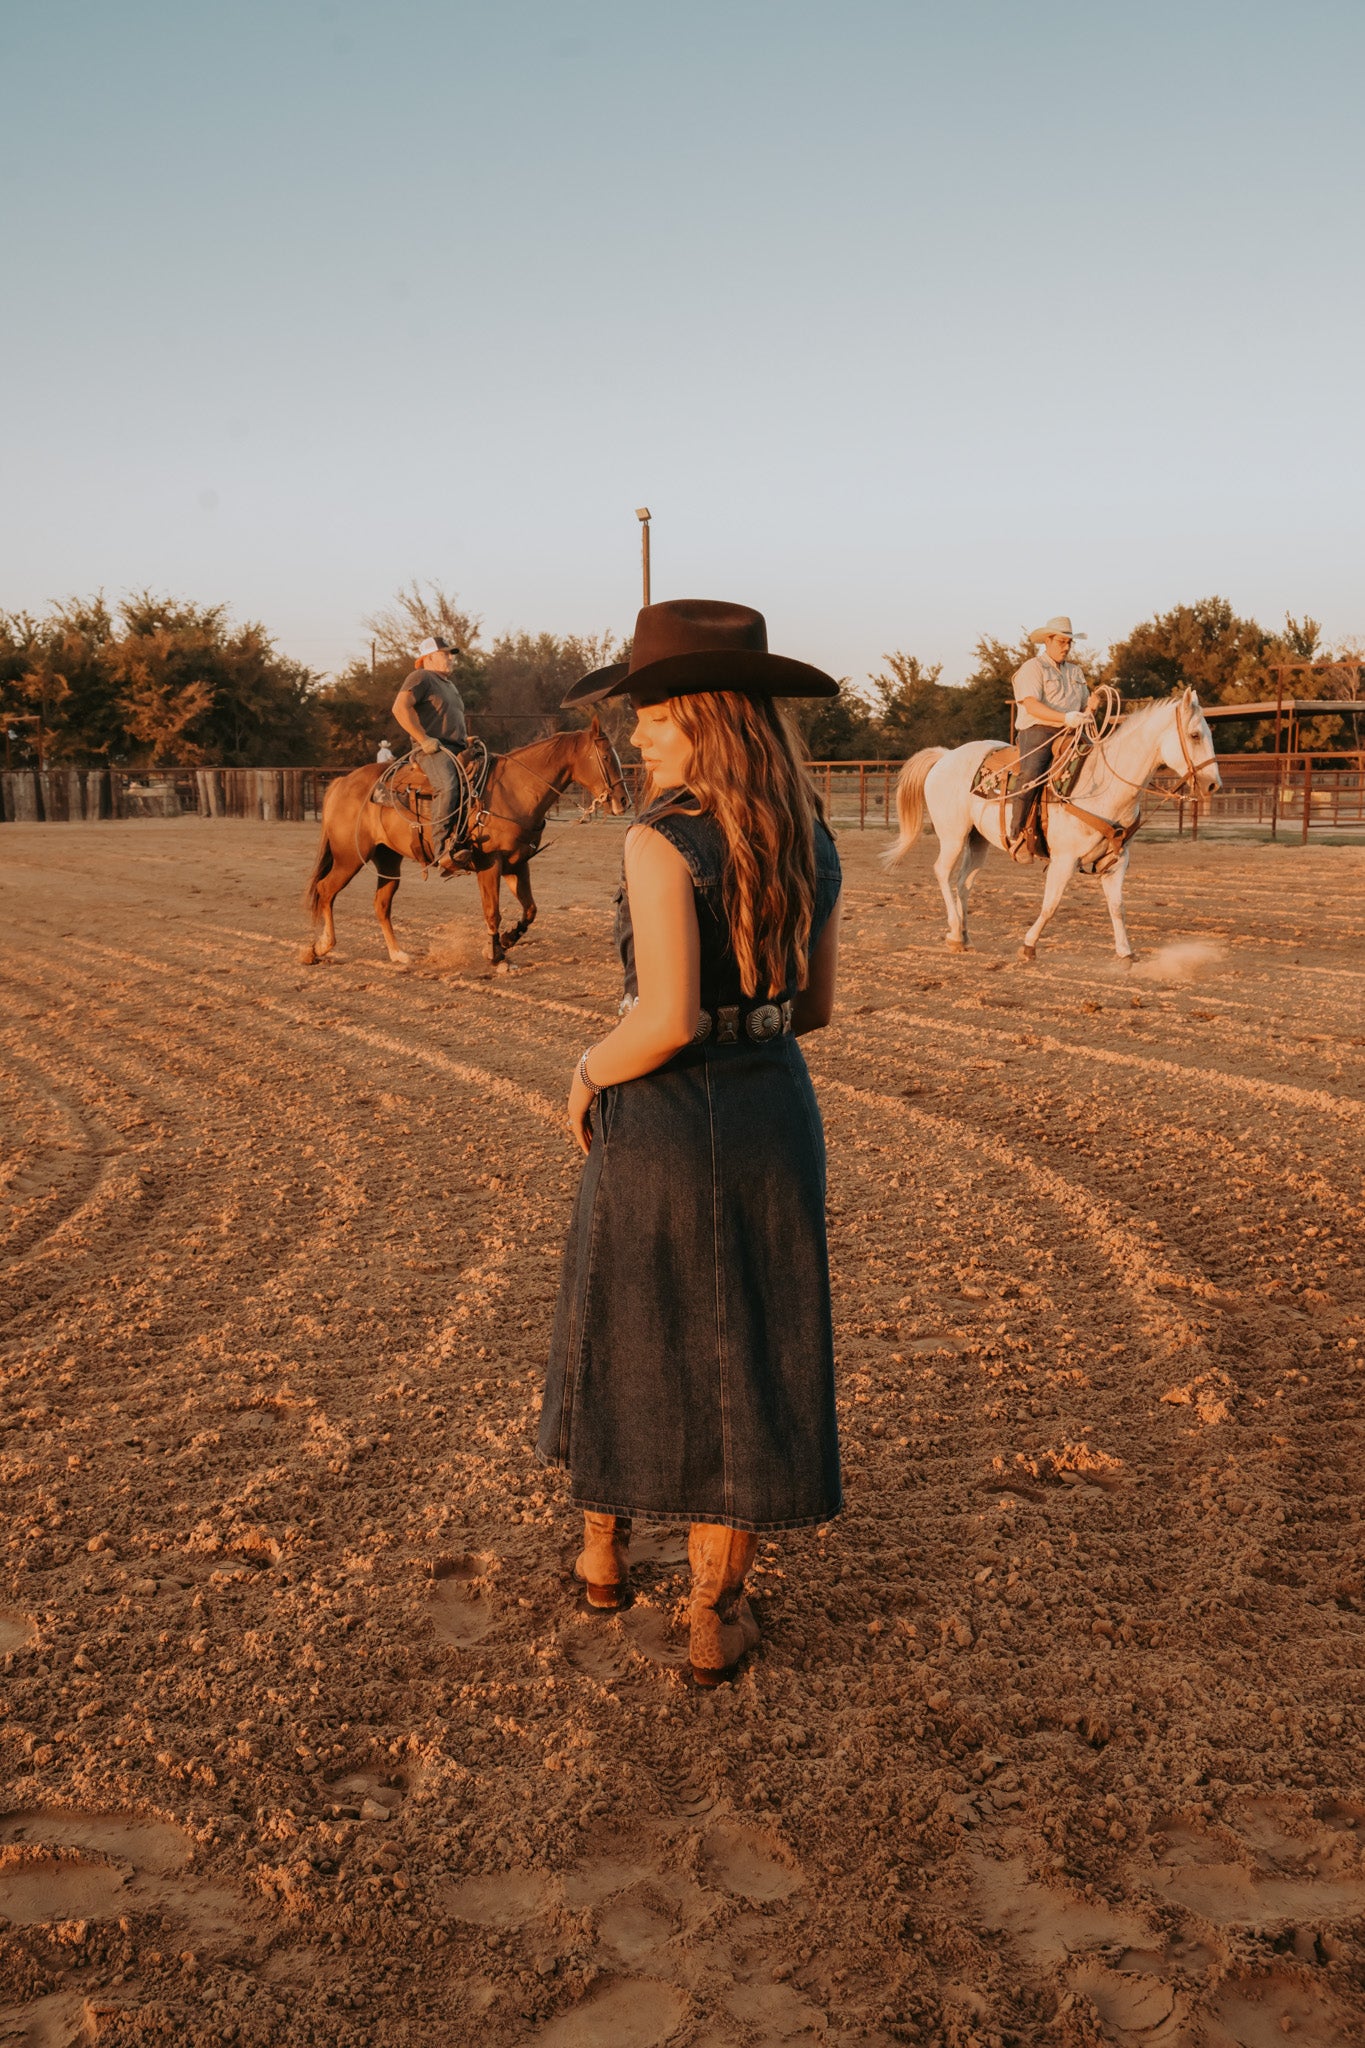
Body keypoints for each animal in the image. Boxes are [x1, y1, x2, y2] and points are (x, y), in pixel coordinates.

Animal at [304, 720, 630, 966]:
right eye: (605, 756)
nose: (624, 800)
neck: (514, 789)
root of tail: (341, 783)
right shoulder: (490, 863)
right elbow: (492, 911)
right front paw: (497, 957)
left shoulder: (517, 864)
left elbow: (530, 909)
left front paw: (506, 941)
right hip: (349, 857)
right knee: (325, 890)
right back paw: (318, 948)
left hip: (387, 860)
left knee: (381, 904)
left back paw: (398, 955)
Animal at [888, 692, 1219, 962]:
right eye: (1194, 735)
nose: (1214, 785)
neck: (1104, 786)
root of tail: (945, 756)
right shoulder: (1064, 860)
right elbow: (1051, 904)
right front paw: (1028, 945)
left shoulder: (1116, 862)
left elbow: (1118, 907)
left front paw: (1126, 953)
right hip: (953, 835)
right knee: (943, 873)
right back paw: (955, 932)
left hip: (977, 840)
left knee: (963, 883)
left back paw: (965, 936)